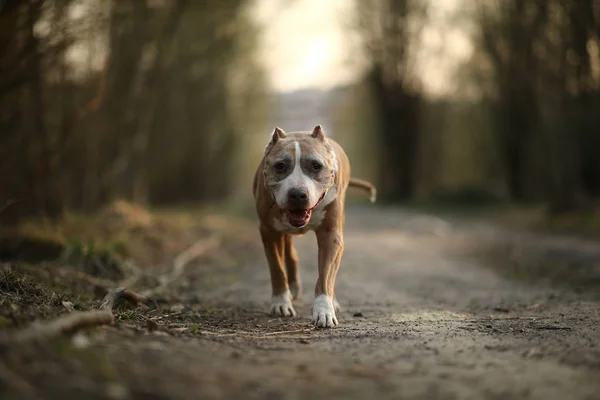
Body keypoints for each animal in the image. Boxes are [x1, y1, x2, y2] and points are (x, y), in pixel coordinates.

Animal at [252, 126, 376, 328]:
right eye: (280, 166)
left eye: (316, 166)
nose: (297, 194)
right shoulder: (269, 232)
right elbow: (277, 268)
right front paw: (280, 302)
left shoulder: (331, 236)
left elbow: (326, 275)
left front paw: (324, 310)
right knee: (290, 253)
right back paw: (293, 289)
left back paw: (332, 301)